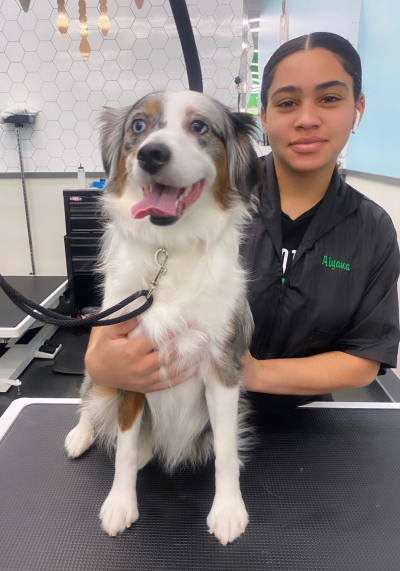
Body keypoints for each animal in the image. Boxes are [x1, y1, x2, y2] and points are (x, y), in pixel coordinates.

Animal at [64, 90, 260, 545]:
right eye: (139, 126)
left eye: (199, 126)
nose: (152, 154)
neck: (170, 250)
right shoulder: (125, 361)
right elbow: (123, 446)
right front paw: (121, 504)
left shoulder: (223, 366)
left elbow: (226, 451)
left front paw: (228, 509)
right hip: (99, 373)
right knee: (90, 400)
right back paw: (81, 434)